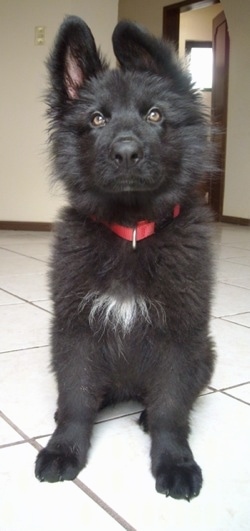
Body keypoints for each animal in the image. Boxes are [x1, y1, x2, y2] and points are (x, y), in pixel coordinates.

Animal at [34, 14, 216, 500]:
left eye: (155, 115)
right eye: (97, 119)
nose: (127, 153)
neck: (132, 230)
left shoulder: (180, 337)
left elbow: (171, 406)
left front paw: (174, 462)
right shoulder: (75, 331)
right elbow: (77, 398)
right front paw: (64, 449)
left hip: (206, 353)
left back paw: (147, 415)